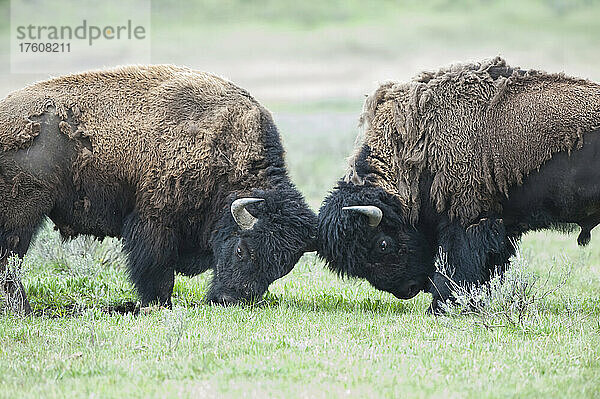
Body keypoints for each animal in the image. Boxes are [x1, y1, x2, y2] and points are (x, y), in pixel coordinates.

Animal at [0, 64, 316, 314]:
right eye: (241, 250)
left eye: (280, 269)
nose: (230, 300)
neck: (223, 152)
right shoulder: (155, 222)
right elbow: (158, 270)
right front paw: (158, 305)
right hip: (23, 215)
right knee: (10, 262)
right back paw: (24, 311)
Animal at [318, 57, 600, 312]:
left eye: (382, 244)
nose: (406, 290)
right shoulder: (501, 226)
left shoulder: (466, 219)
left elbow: (457, 264)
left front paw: (442, 306)